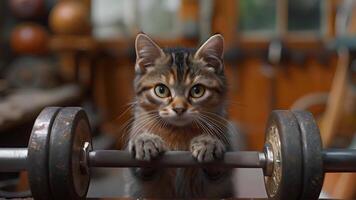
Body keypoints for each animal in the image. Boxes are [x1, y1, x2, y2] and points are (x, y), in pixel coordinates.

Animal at [123, 33, 236, 198]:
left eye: (197, 91)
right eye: (161, 90)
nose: (179, 108)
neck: (178, 132)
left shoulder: (222, 177)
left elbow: (218, 171)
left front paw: (208, 142)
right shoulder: (138, 180)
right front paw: (144, 141)